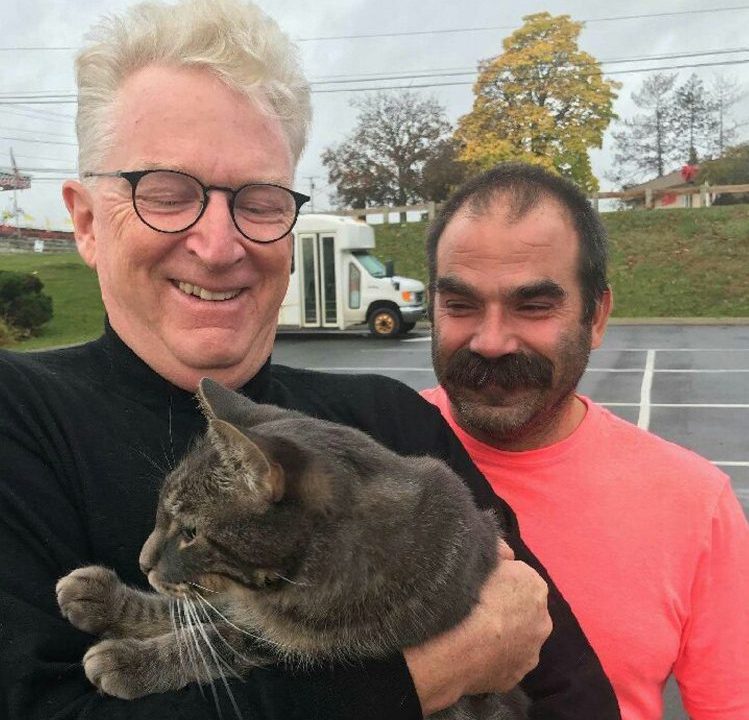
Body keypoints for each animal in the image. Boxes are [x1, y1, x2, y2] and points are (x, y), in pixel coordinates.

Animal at [57, 380, 524, 716]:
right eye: (160, 512)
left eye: (189, 532)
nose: (143, 562)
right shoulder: (242, 601)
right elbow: (194, 609)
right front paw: (105, 599)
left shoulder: (302, 645)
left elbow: (213, 641)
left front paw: (131, 661)